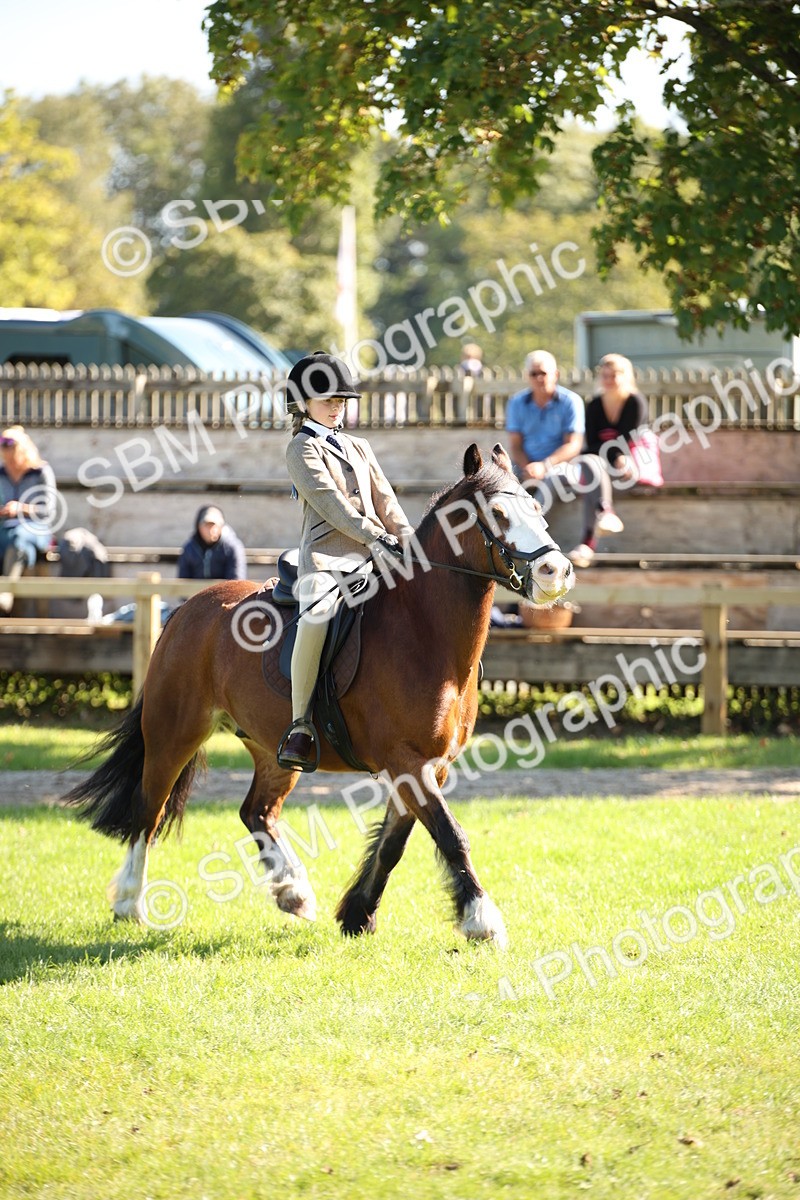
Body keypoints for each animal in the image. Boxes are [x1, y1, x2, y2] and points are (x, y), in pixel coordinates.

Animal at [64, 443, 574, 947]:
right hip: (173, 735)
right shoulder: (406, 761)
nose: (556, 571)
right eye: (498, 513)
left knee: (256, 812)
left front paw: (358, 914)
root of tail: (189, 607)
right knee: (147, 812)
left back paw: (293, 891)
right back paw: (130, 903)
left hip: (271, 749)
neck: (421, 630)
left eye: (536, 509)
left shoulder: (429, 766)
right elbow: (450, 834)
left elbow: (395, 842)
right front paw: (482, 920)